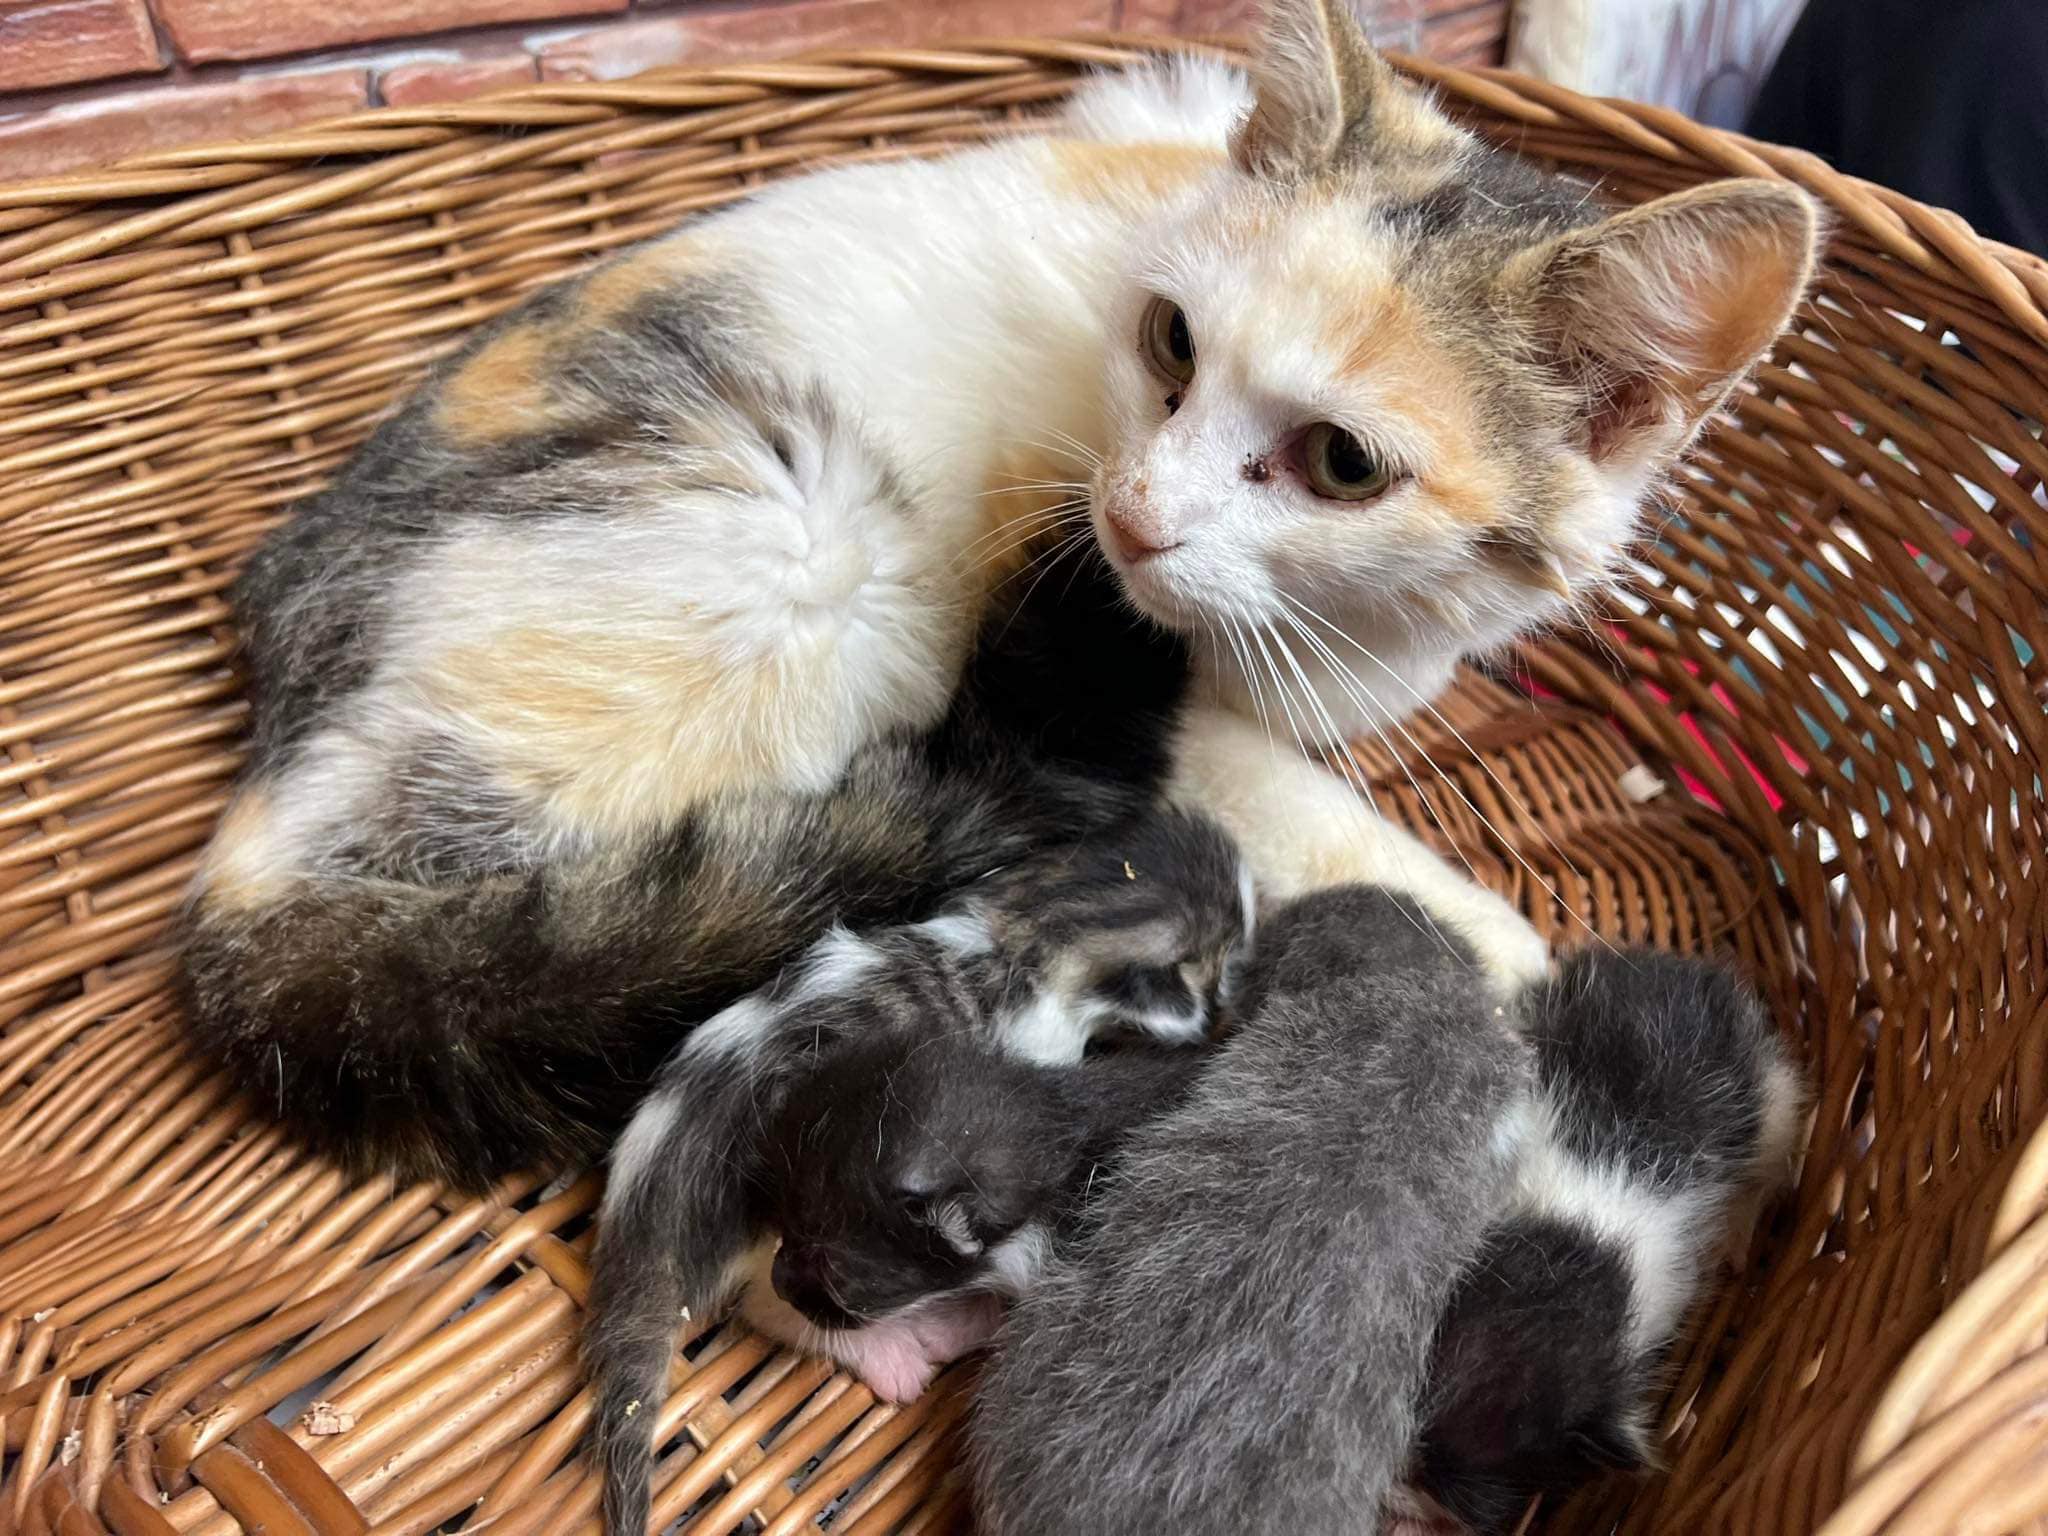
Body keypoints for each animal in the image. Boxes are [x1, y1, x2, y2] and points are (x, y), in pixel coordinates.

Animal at [172, 0, 1810, 1187]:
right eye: (1170, 342)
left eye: (1344, 464)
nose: (1133, 517)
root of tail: (264, 812)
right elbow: (1332, 828)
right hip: (816, 548)